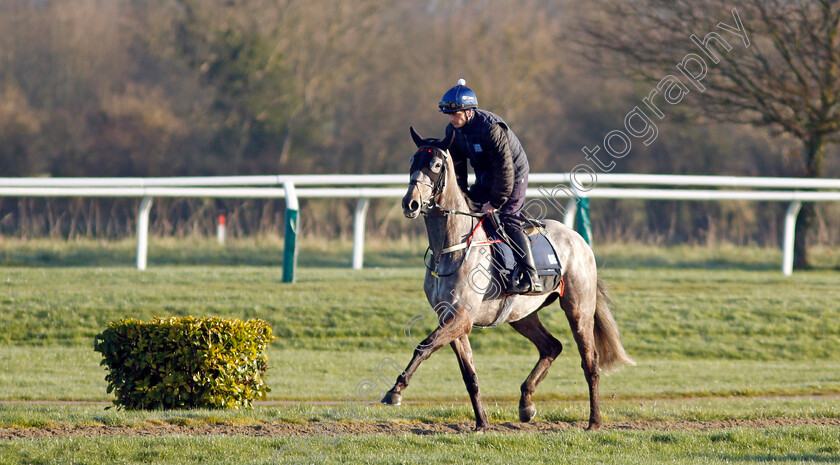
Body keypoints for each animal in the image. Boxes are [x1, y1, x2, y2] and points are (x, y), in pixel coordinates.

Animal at [382, 128, 636, 432]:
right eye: (412, 160)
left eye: (436, 164)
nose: (410, 203)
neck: (452, 247)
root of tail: (579, 239)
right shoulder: (452, 320)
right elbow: (470, 376)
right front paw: (481, 424)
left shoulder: (461, 318)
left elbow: (424, 345)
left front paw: (395, 390)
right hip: (521, 315)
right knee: (552, 346)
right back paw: (526, 403)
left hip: (578, 309)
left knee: (590, 362)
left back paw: (594, 422)